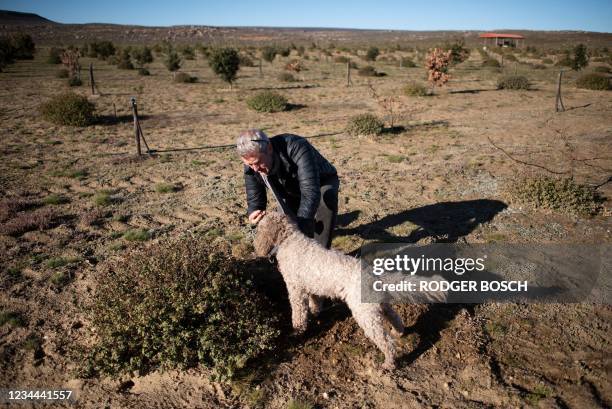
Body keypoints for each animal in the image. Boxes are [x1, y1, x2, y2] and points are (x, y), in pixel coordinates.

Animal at [253, 212, 444, 368]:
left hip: (365, 313)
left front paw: (298, 331)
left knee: (385, 342)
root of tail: (372, 274)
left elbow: (298, 314)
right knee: (395, 318)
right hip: (379, 305)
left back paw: (389, 364)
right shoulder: (312, 287)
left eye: (260, 227)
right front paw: (315, 313)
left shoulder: (296, 290)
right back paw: (398, 332)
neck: (289, 240)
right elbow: (315, 302)